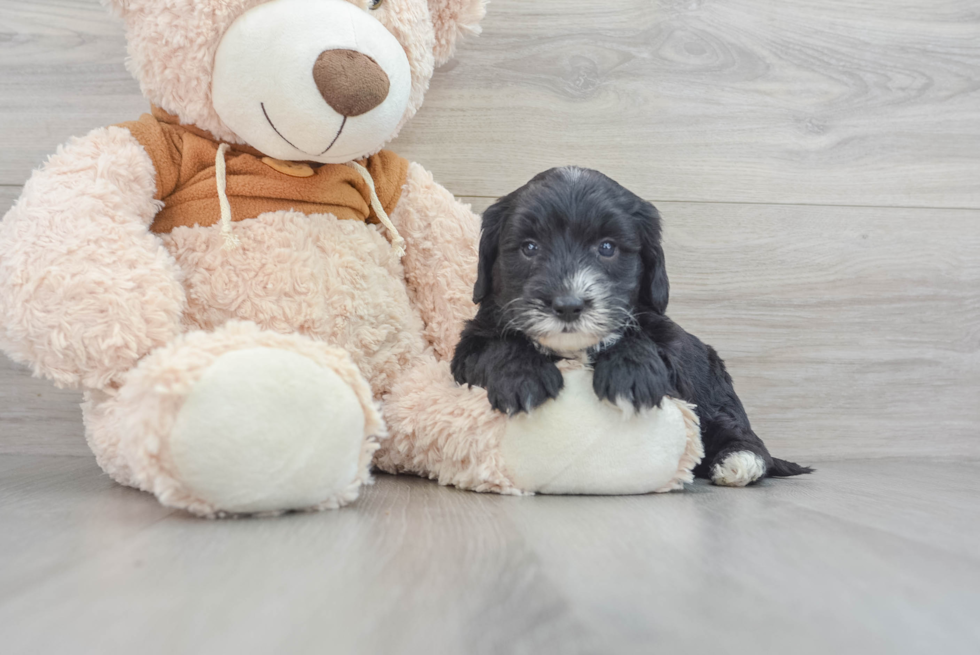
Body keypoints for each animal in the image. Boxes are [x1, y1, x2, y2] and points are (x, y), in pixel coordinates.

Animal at [452, 169, 812, 486]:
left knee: (737, 432)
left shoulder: (674, 356)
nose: (568, 304)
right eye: (529, 247)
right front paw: (523, 377)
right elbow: (494, 347)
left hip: (717, 399)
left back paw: (739, 462)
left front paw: (630, 374)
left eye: (607, 247)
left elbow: (643, 339)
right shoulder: (468, 346)